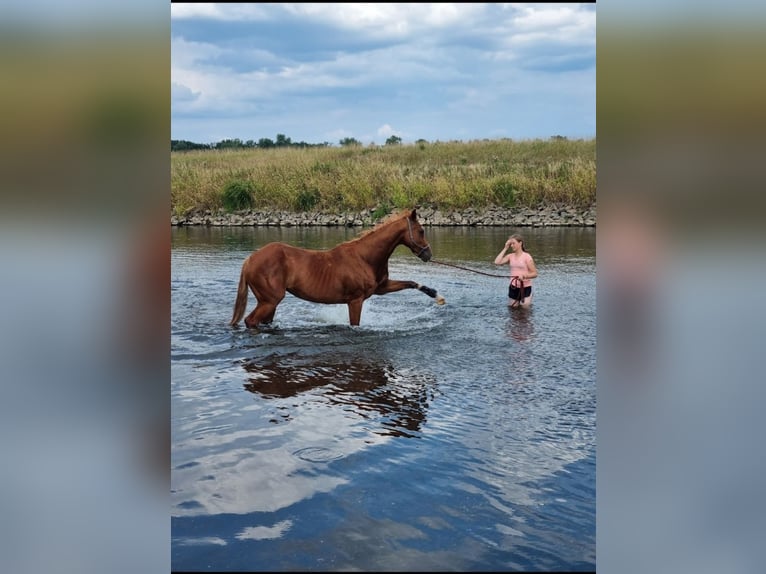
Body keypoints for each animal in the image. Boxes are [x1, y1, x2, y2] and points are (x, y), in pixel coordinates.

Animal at [230, 210, 444, 328]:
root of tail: (250, 260)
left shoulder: (381, 288)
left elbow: (411, 283)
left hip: (270, 304)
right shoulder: (355, 301)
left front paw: (437, 296)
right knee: (250, 321)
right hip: (269, 301)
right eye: (421, 231)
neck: (365, 257)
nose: (428, 254)